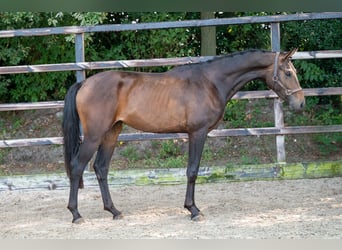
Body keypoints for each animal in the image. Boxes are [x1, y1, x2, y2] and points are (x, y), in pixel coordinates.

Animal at [61, 48, 304, 223]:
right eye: (288, 73)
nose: (300, 103)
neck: (210, 81)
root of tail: (85, 83)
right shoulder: (197, 133)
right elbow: (192, 170)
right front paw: (193, 210)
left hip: (112, 132)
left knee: (101, 168)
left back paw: (114, 211)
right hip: (94, 136)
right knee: (77, 167)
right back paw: (76, 214)